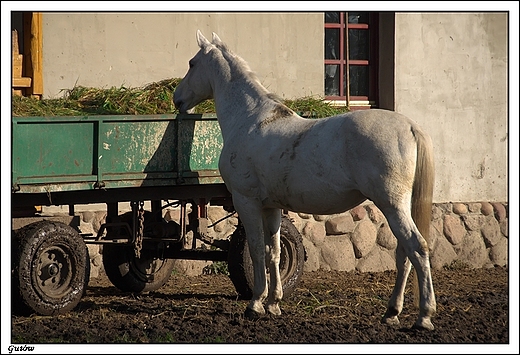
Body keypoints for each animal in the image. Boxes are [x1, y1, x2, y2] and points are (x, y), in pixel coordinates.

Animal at [174, 30, 434, 330]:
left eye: (192, 63)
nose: (176, 99)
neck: (249, 120)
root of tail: (410, 126)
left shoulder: (246, 202)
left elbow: (256, 250)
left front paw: (255, 304)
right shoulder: (271, 207)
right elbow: (273, 251)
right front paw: (273, 303)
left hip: (391, 204)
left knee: (417, 248)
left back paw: (424, 316)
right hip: (399, 206)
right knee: (405, 254)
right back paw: (392, 311)